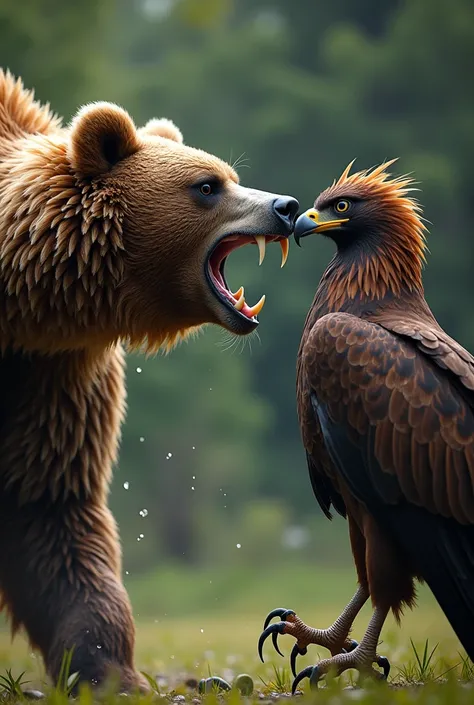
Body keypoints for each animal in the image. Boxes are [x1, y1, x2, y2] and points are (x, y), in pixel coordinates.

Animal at [0, 73, 296, 692]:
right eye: (207, 185)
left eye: (229, 175)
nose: (286, 207)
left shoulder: (52, 373)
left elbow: (48, 502)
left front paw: (108, 670)